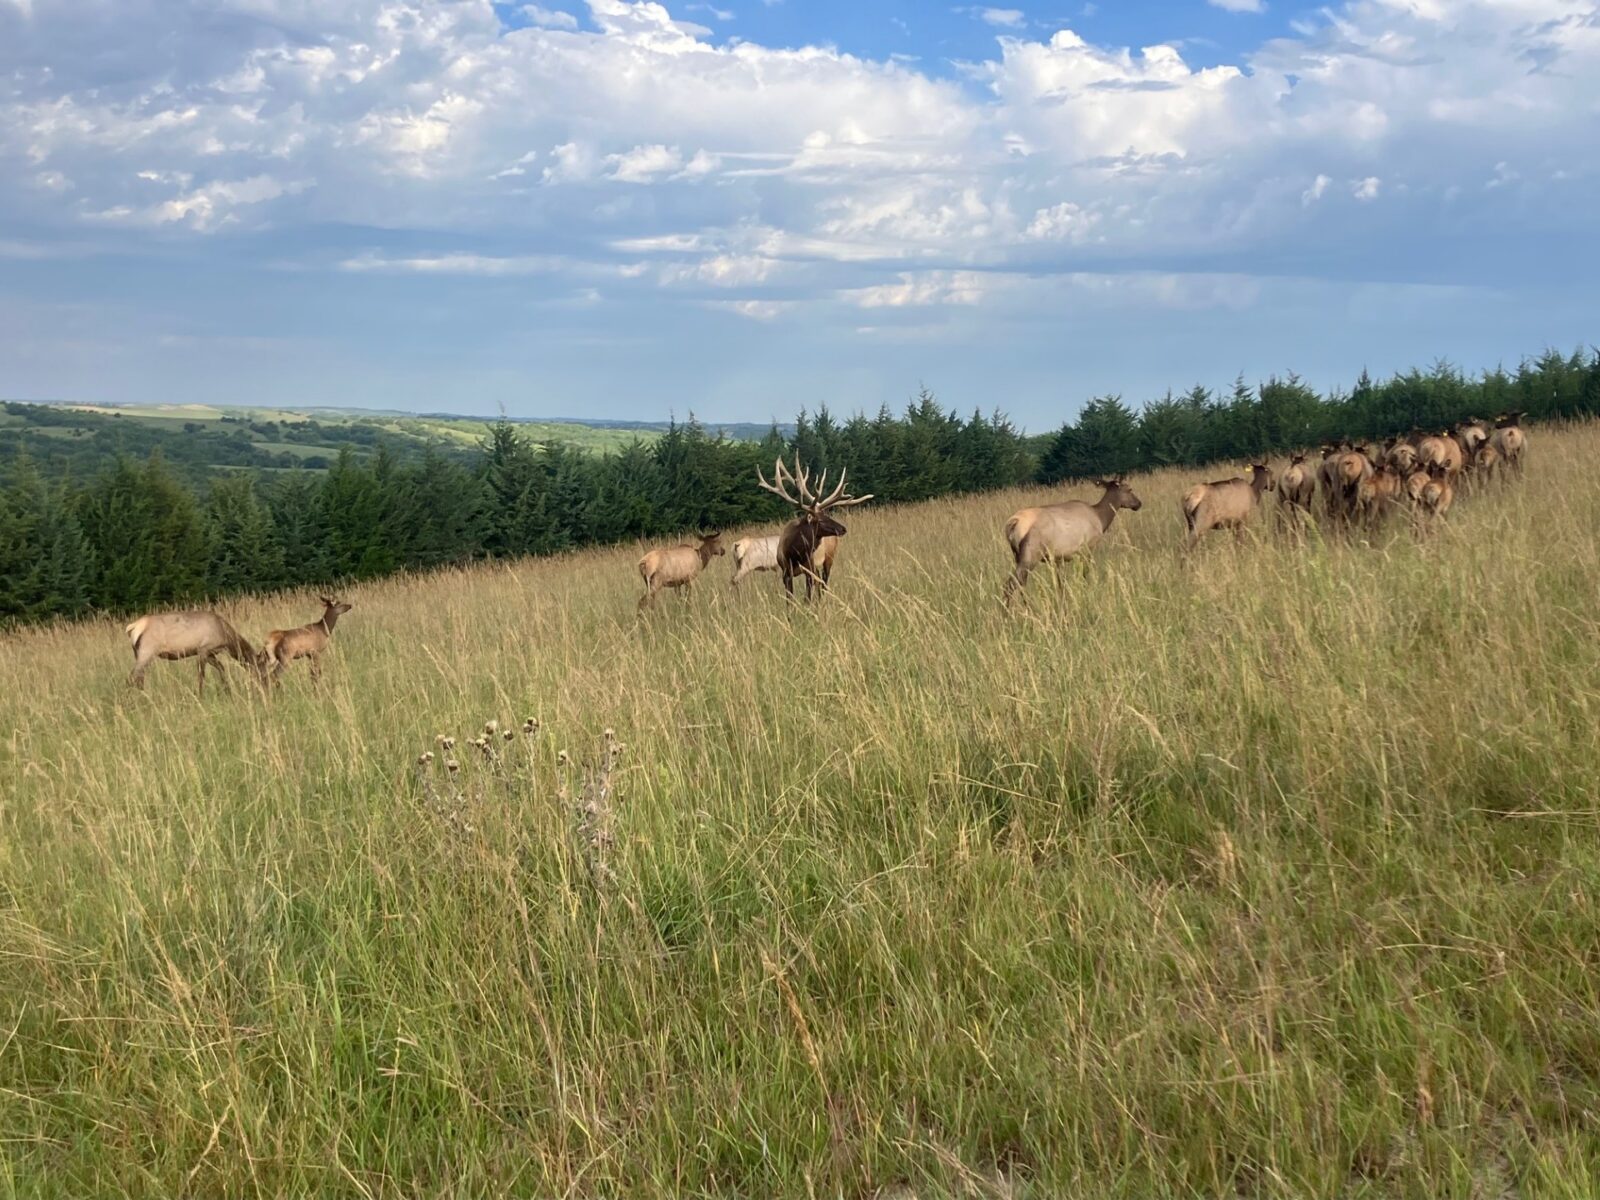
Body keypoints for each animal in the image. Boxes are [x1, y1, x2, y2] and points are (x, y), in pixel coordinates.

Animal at [125, 610, 267, 695]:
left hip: (138, 653)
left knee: (139, 677)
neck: (227, 639)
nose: (265, 686)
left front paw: (227, 690)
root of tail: (133, 627)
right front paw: (199, 694)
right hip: (147, 651)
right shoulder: (203, 650)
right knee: (132, 677)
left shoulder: (210, 654)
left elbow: (221, 668)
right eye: (262, 670)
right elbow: (201, 675)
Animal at [755, 455, 873, 601]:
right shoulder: (786, 572)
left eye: (827, 515)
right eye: (821, 520)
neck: (794, 553)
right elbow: (790, 599)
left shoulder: (809, 569)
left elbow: (807, 598)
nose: (843, 529)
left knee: (824, 583)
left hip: (829, 558)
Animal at [1003, 477, 1142, 602]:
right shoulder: (1087, 548)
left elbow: (1060, 585)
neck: (1101, 519)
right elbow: (1084, 575)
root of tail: (1012, 523)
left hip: (1017, 555)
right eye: (1129, 489)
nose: (1139, 503)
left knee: (1020, 584)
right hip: (1030, 555)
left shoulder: (1058, 559)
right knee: (1010, 585)